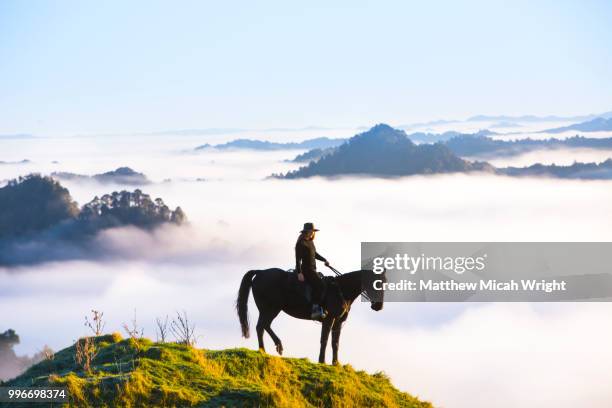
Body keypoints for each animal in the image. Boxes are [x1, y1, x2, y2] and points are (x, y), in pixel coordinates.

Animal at [237, 268, 384, 364]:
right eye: (376, 283)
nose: (378, 306)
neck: (341, 290)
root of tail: (260, 272)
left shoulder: (338, 322)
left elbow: (335, 343)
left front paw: (336, 363)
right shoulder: (329, 319)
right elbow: (324, 340)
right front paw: (322, 361)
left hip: (269, 310)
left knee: (264, 326)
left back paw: (274, 347)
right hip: (270, 309)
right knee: (261, 327)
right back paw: (265, 350)